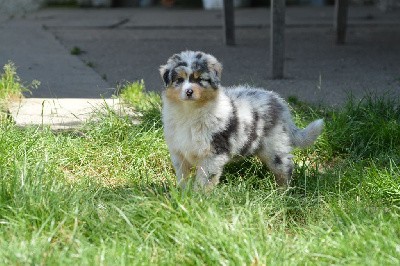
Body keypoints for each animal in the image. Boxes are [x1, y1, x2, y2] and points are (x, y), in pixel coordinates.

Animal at [158, 50, 324, 191]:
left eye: (200, 80)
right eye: (179, 80)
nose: (189, 91)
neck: (189, 113)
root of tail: (279, 102)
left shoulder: (213, 154)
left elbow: (205, 180)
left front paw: (199, 198)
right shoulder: (179, 152)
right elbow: (183, 177)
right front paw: (183, 195)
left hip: (274, 147)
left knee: (285, 168)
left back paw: (283, 193)